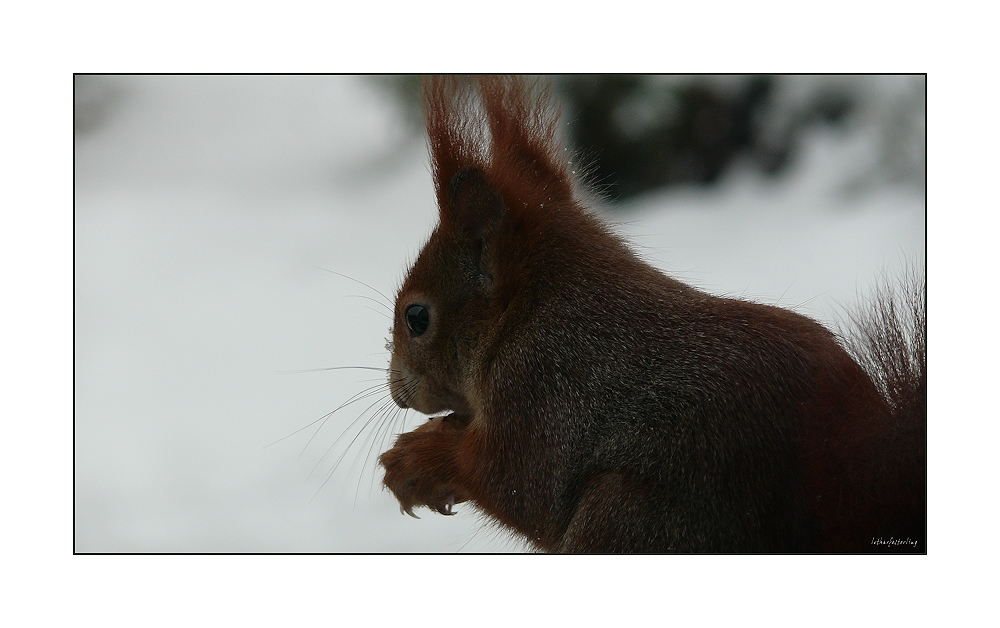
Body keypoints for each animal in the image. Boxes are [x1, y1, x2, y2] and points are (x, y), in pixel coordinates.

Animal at [378, 76, 924, 552]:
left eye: (416, 318)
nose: (397, 391)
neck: (526, 315)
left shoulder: (542, 391)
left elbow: (520, 486)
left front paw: (417, 459)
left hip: (629, 518)